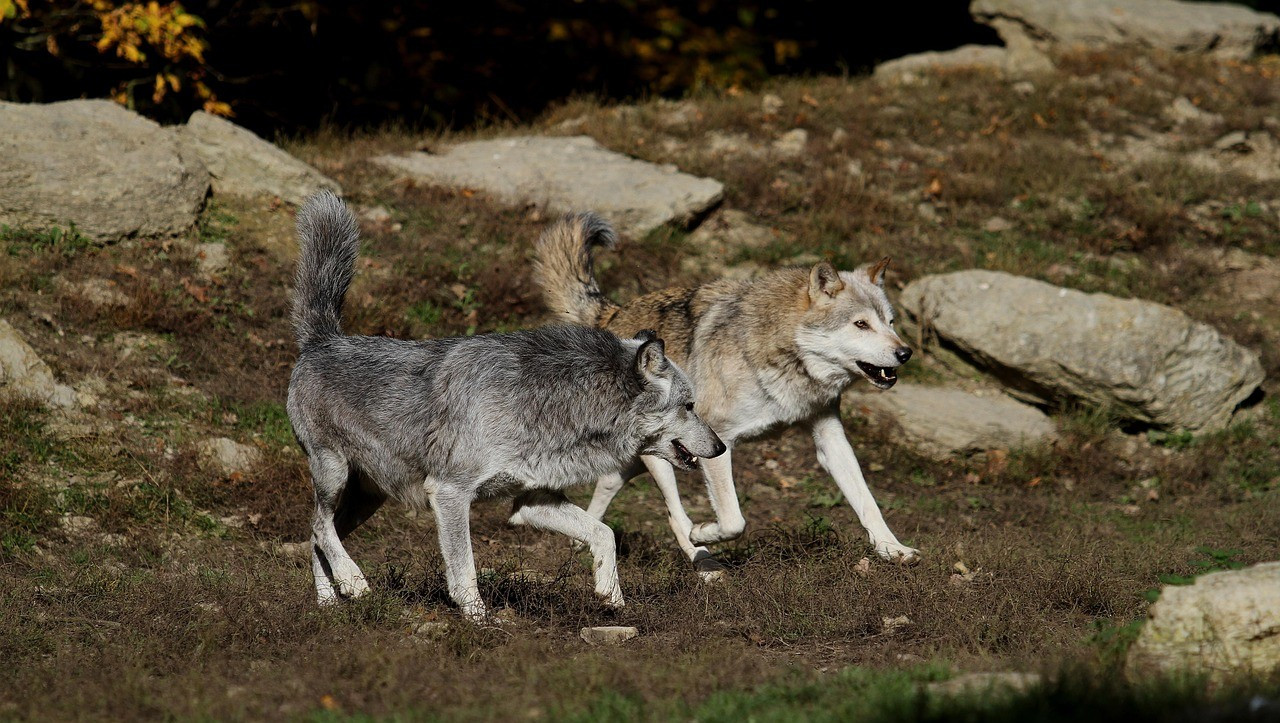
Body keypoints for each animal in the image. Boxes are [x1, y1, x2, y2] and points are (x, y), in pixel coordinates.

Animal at [286, 193, 725, 619]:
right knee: (319, 526)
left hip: (368, 497)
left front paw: (611, 597)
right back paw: (354, 582)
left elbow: (605, 534)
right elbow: (464, 569)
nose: (721, 446)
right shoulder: (449, 493)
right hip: (334, 473)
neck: (547, 403)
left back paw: (329, 604)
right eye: (690, 405)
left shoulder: (531, 501)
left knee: (315, 538)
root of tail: (321, 340)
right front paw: (479, 620)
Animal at [534, 216, 918, 576]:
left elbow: (867, 501)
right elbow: (734, 520)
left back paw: (580, 544)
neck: (782, 352)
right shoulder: (719, 441)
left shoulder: (829, 436)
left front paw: (893, 550)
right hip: (665, 455)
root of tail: (613, 313)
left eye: (890, 322)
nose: (905, 353)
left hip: (645, 459)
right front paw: (705, 532)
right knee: (674, 515)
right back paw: (705, 562)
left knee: (608, 483)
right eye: (860, 325)